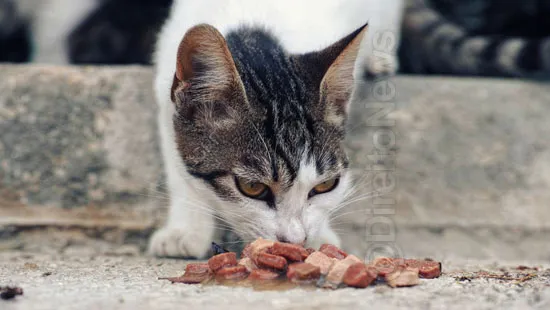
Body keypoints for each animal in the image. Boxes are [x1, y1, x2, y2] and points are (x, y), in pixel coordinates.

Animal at [150, 0, 406, 258]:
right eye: (252, 187)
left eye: (325, 185)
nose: (296, 241)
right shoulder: (165, 98)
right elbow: (180, 174)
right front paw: (186, 230)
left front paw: (321, 236)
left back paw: (380, 59)